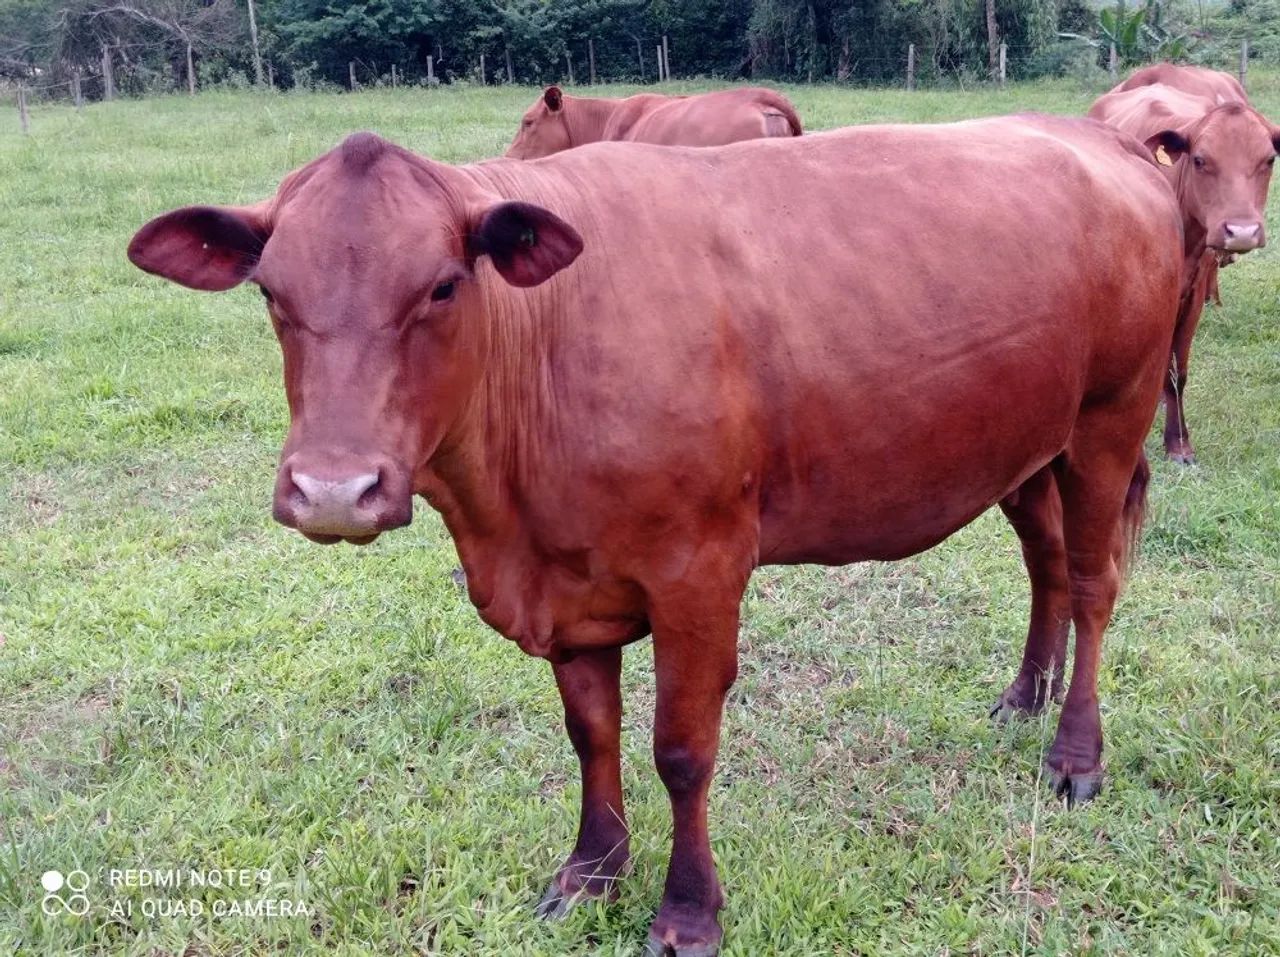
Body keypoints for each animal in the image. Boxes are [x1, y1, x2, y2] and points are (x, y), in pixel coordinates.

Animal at [127, 118, 1182, 956]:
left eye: (441, 286)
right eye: (271, 292)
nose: (334, 489)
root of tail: (1099, 134)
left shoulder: (699, 572)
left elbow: (683, 748)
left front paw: (686, 912)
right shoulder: (568, 588)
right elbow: (590, 731)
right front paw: (591, 871)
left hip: (1111, 416)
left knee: (1094, 580)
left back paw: (1074, 754)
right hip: (1026, 442)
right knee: (1047, 562)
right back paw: (1023, 695)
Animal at [1090, 78, 1279, 463]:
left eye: (1268, 159)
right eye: (1200, 159)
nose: (1241, 231)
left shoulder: (1193, 295)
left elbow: (1178, 372)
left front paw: (1178, 442)